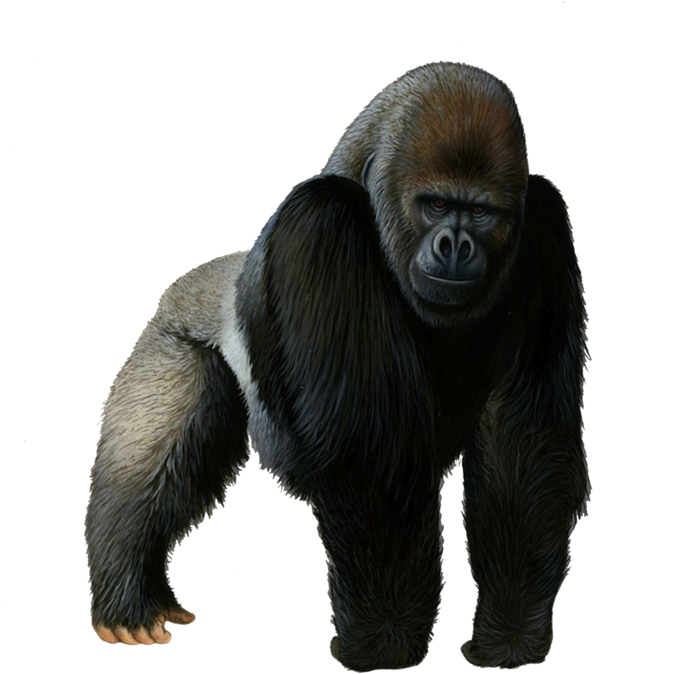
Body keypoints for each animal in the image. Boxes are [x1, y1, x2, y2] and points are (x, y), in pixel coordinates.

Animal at [86, 62, 589, 670]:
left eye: (480, 212)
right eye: (435, 206)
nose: (455, 246)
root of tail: (207, 276)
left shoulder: (543, 224)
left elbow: (524, 447)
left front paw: (509, 638)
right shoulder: (321, 220)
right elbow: (370, 463)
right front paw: (384, 641)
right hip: (173, 334)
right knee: (147, 456)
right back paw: (129, 595)